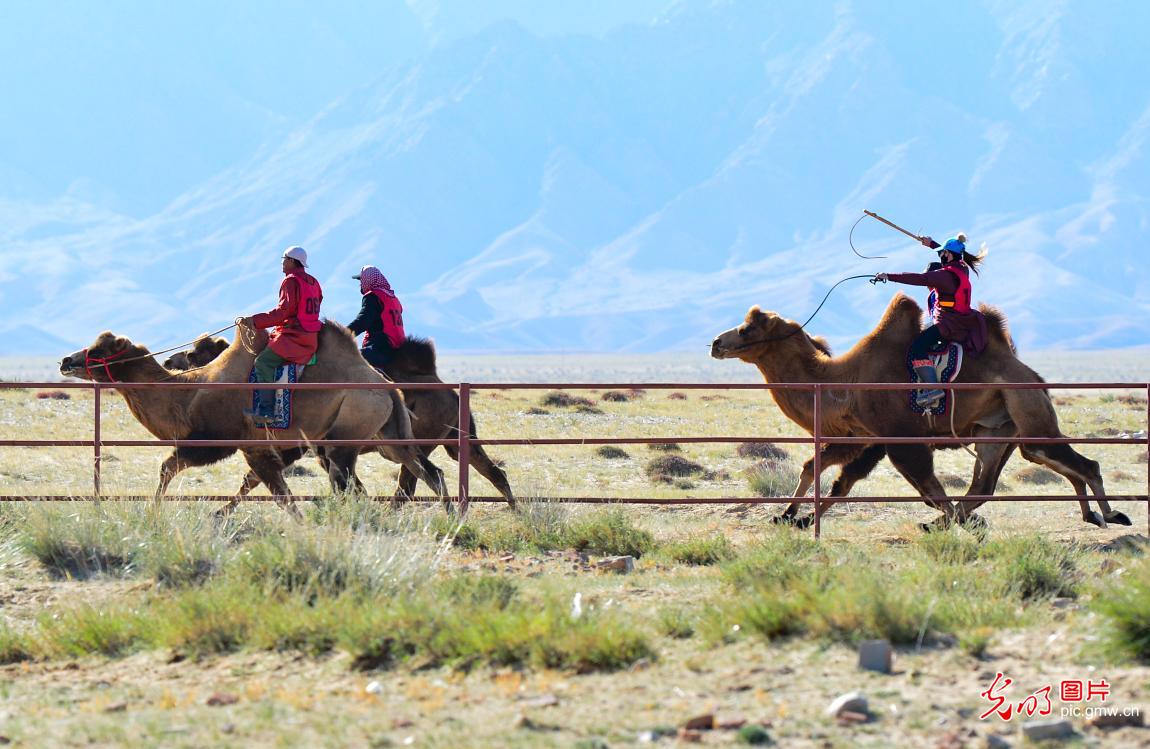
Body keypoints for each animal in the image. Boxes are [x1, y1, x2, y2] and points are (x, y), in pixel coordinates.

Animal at [60, 322, 448, 515]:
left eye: (97, 350)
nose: (66, 360)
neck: (186, 394)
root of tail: (387, 387)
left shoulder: (218, 441)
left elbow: (169, 465)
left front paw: (155, 509)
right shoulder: (261, 448)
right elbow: (270, 488)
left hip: (343, 438)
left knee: (350, 483)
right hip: (390, 437)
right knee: (427, 471)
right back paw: (451, 519)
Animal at [703, 296, 1127, 529]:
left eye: (747, 329)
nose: (715, 342)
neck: (841, 382)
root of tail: (1034, 376)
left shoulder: (899, 438)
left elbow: (928, 489)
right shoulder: (863, 438)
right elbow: (826, 473)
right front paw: (792, 516)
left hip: (1027, 412)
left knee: (1080, 462)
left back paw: (1112, 514)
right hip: (1001, 430)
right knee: (993, 481)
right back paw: (1090, 515)